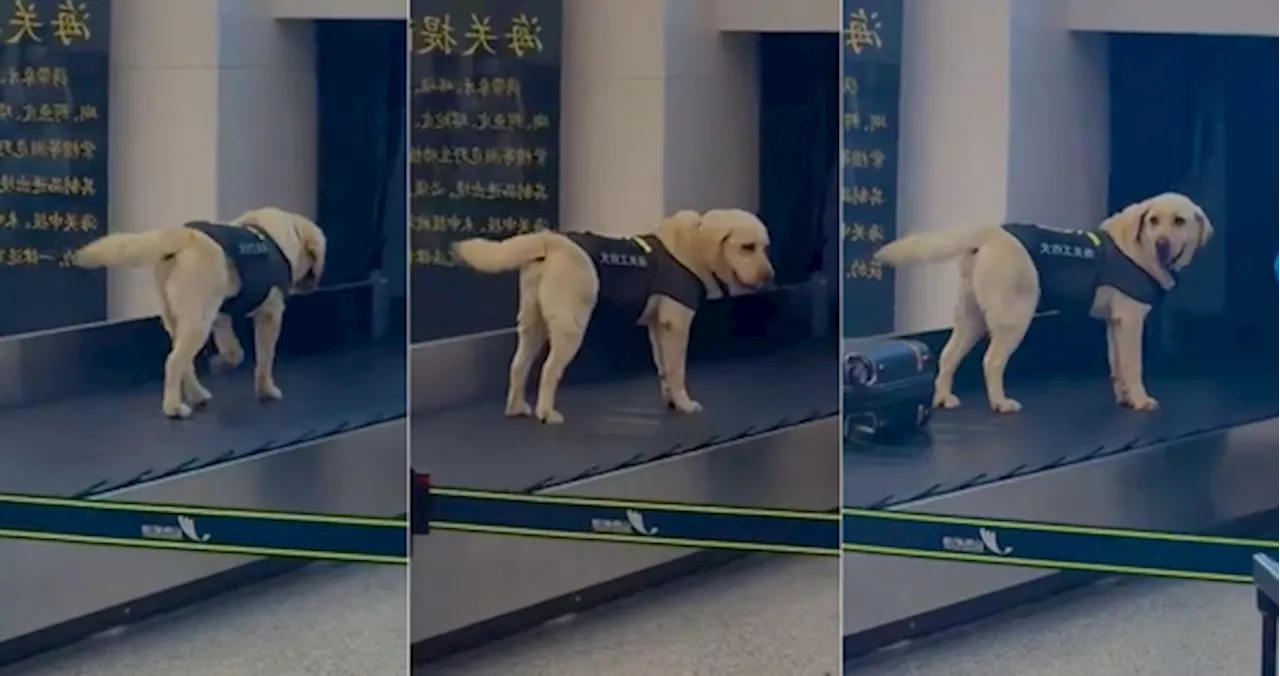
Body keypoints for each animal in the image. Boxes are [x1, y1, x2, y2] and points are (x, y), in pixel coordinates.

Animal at [72, 206, 327, 417]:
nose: (310, 285)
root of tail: (183, 236)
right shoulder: (270, 317)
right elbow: (265, 359)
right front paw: (267, 390)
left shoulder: (222, 317)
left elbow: (235, 352)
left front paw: (222, 363)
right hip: (198, 323)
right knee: (174, 362)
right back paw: (174, 407)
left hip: (179, 318)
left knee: (185, 362)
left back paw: (197, 395)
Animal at [453, 208, 768, 425]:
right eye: (747, 247)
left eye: (764, 247)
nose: (770, 275)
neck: (696, 245)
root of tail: (551, 241)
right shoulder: (676, 324)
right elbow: (677, 369)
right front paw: (684, 403)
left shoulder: (657, 327)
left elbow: (664, 367)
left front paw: (671, 401)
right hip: (570, 326)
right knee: (548, 370)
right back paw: (547, 413)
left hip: (533, 323)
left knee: (518, 366)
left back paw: (516, 408)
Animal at [870, 193, 1208, 414]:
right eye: (1153, 221)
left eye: (1179, 221)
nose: (1162, 244)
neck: (1137, 248)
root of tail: (991, 233)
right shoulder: (1131, 320)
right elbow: (1132, 365)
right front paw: (1139, 400)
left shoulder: (1115, 324)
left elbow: (1117, 365)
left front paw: (1124, 398)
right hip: (1015, 317)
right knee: (991, 361)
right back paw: (1000, 403)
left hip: (971, 317)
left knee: (948, 356)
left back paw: (943, 397)